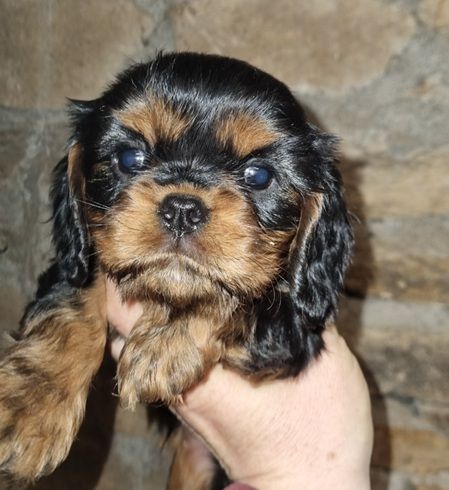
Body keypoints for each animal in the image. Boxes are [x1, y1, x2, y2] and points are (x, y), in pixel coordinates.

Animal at [0, 52, 353, 488]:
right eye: (129, 158)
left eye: (259, 176)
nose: (182, 208)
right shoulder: (74, 260)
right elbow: (76, 294)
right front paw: (29, 404)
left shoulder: (296, 329)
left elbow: (245, 301)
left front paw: (165, 340)